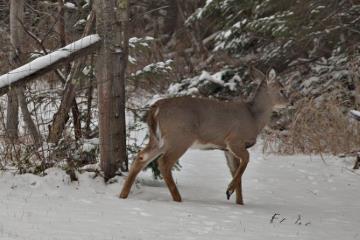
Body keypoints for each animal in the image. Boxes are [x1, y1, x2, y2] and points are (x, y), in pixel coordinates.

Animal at [119, 67, 288, 204]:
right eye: (281, 89)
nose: (290, 102)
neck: (254, 118)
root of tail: (156, 108)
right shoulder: (234, 140)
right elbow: (245, 161)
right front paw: (229, 190)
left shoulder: (227, 149)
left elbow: (236, 172)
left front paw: (238, 201)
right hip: (179, 137)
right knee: (164, 162)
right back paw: (178, 199)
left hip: (157, 139)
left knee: (142, 157)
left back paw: (123, 195)